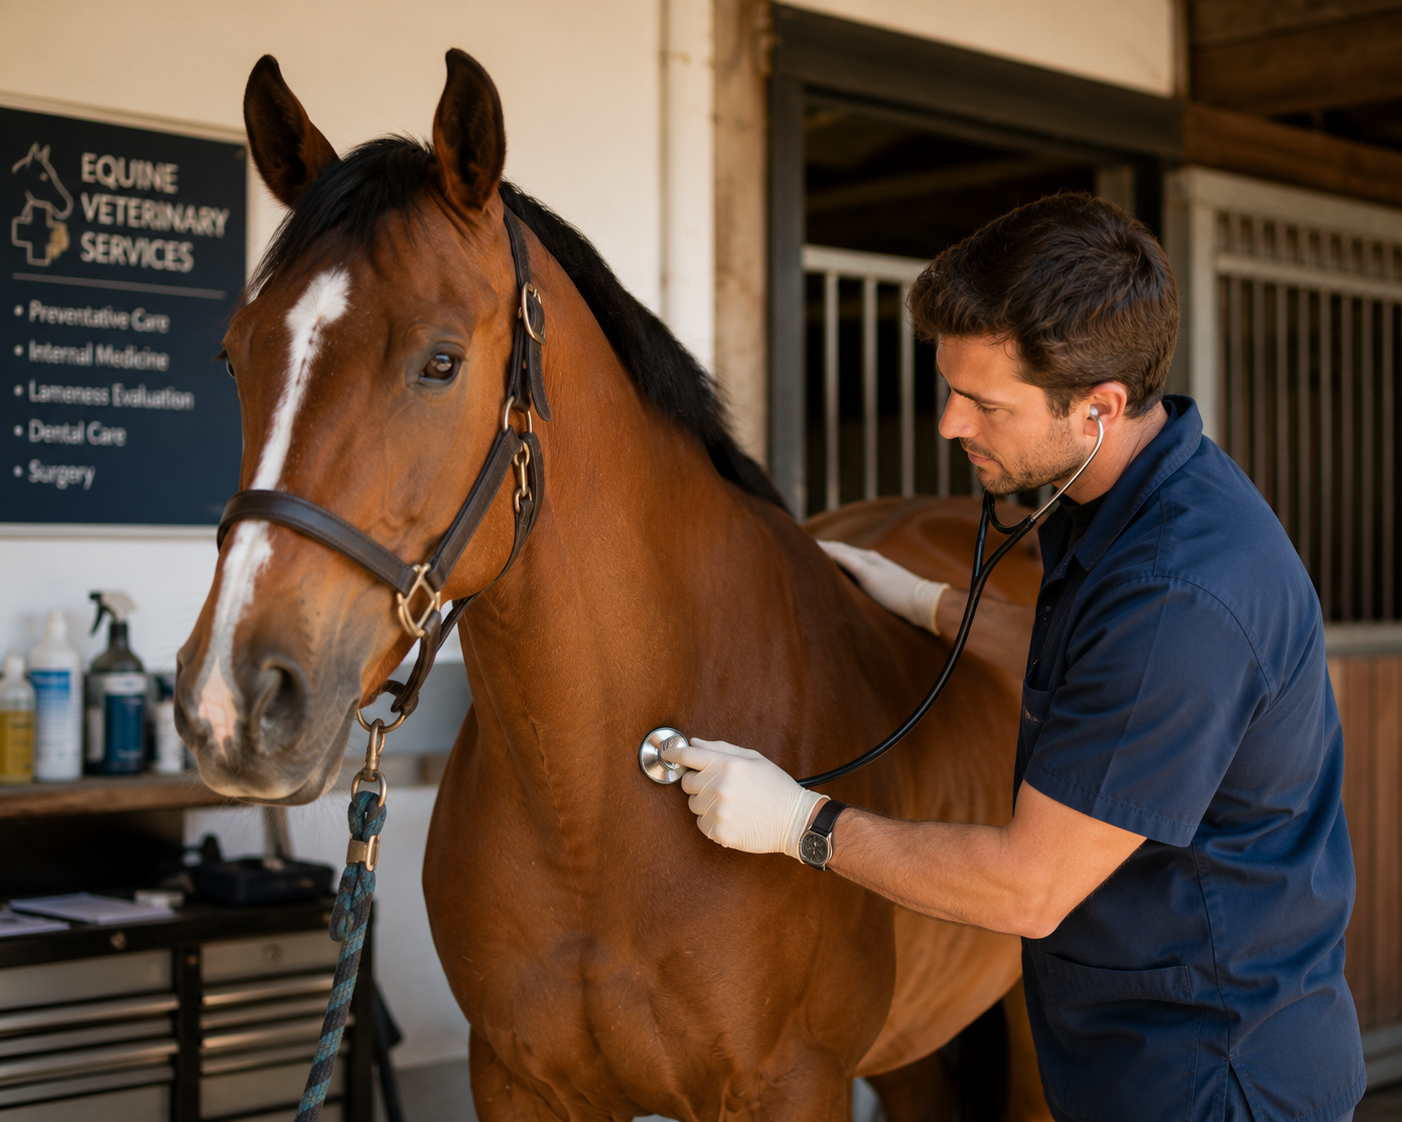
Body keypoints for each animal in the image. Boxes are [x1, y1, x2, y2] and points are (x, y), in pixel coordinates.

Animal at [175, 50, 1049, 1121]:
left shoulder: (793, 1084)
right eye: (235, 356)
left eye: (440, 362)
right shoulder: (516, 1079)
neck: (600, 805)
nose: (234, 699)